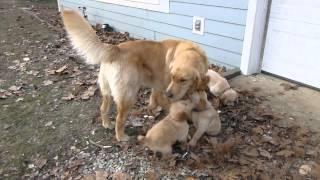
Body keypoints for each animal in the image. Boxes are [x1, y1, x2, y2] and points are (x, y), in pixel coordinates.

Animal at [61, 9, 209, 141]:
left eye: (183, 80)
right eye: (173, 77)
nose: (169, 94)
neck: (190, 51)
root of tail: (116, 48)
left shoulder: (158, 87)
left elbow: (153, 100)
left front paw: (152, 109)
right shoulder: (163, 88)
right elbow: (168, 105)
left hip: (107, 91)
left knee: (103, 108)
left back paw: (106, 123)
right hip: (129, 95)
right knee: (119, 119)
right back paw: (121, 137)